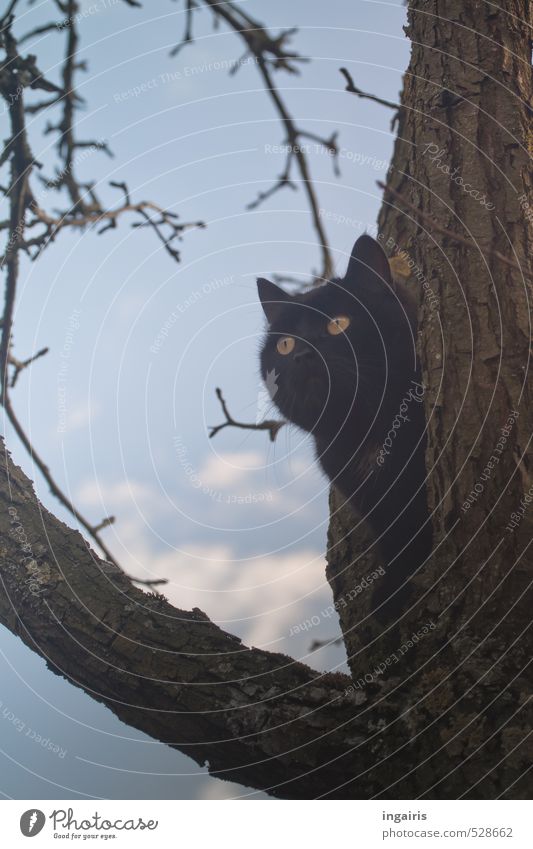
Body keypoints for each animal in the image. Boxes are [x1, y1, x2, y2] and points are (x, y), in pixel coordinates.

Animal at [258, 235, 432, 620]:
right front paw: (389, 595)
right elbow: (396, 539)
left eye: (339, 323)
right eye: (285, 344)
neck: (367, 430)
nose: (302, 354)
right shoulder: (371, 502)